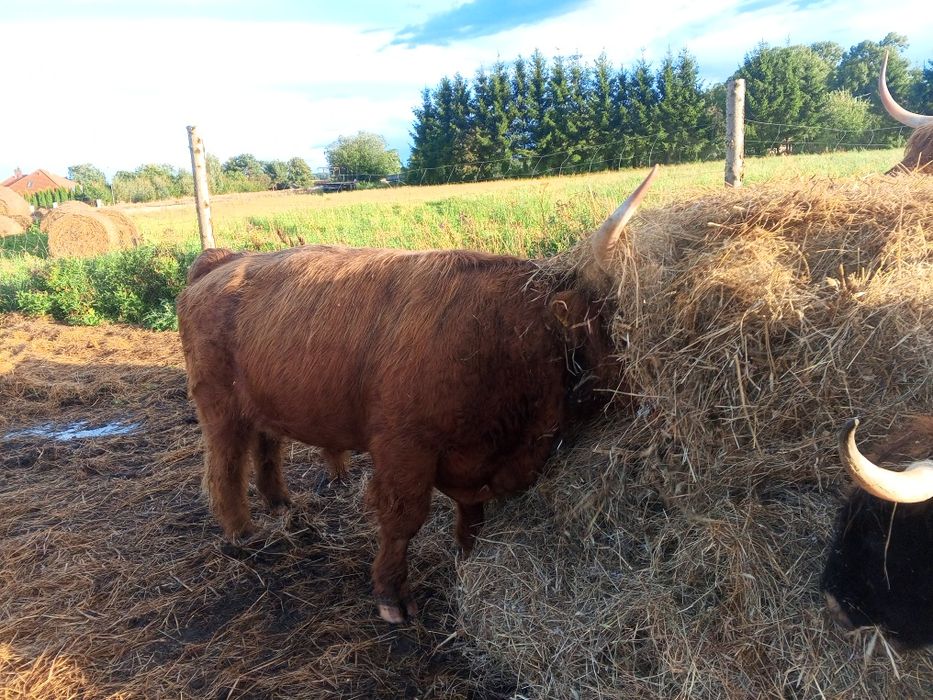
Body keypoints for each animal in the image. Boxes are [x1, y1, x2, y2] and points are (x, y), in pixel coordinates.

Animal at [176, 167, 658, 623]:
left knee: (267, 445)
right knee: (225, 465)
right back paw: (242, 532)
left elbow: (473, 511)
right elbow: (403, 519)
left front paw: (467, 556)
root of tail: (224, 260)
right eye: (626, 324)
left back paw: (280, 503)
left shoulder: (477, 459)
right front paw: (391, 594)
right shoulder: (403, 448)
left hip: (263, 400)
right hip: (219, 406)